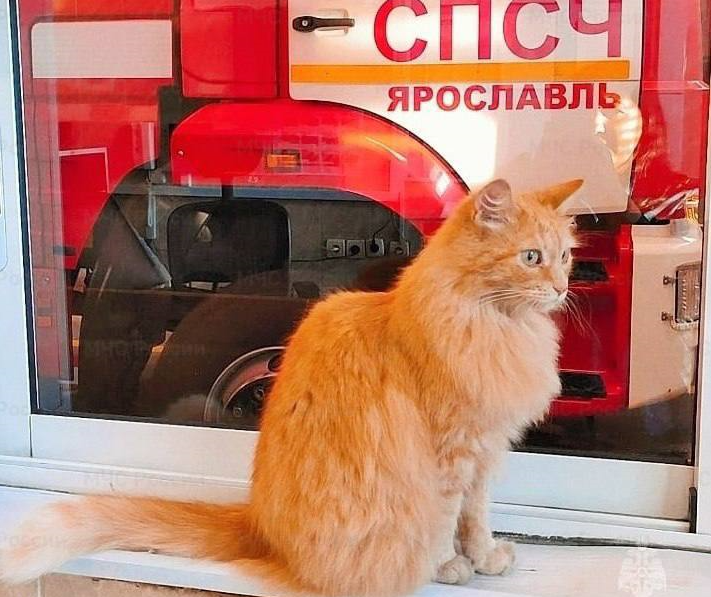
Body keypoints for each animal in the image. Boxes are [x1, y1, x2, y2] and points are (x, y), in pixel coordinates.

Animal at [0, 178, 582, 596]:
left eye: (565, 257)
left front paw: (484, 559)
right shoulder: (452, 455)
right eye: (531, 257)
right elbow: (445, 523)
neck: (491, 326)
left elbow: (476, 519)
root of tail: (261, 528)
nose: (561, 288)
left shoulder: (483, 456)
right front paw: (450, 566)